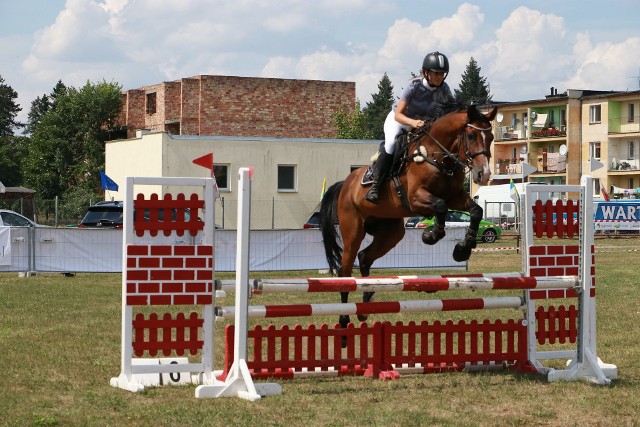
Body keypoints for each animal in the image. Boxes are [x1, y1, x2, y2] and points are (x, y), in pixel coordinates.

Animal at [318, 103, 498, 338]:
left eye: (491, 137)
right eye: (471, 135)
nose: (483, 174)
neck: (438, 156)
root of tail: (345, 184)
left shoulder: (456, 197)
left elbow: (476, 211)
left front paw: (463, 249)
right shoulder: (415, 198)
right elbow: (440, 207)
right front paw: (431, 235)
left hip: (391, 232)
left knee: (365, 257)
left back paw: (366, 303)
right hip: (353, 230)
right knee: (346, 272)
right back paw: (344, 320)